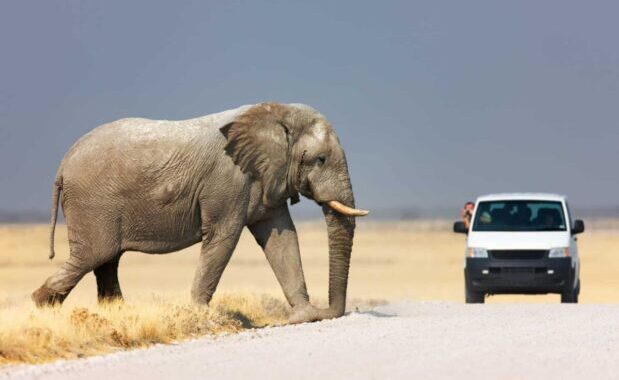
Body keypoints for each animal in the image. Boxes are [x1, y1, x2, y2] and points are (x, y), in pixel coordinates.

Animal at [31, 102, 368, 322]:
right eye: (321, 159)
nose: (328, 312)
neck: (276, 113)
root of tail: (63, 166)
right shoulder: (228, 181)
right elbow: (224, 238)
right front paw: (201, 314)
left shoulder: (265, 177)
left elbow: (281, 238)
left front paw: (304, 317)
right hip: (92, 204)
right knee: (93, 256)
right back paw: (39, 309)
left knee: (106, 261)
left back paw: (116, 312)